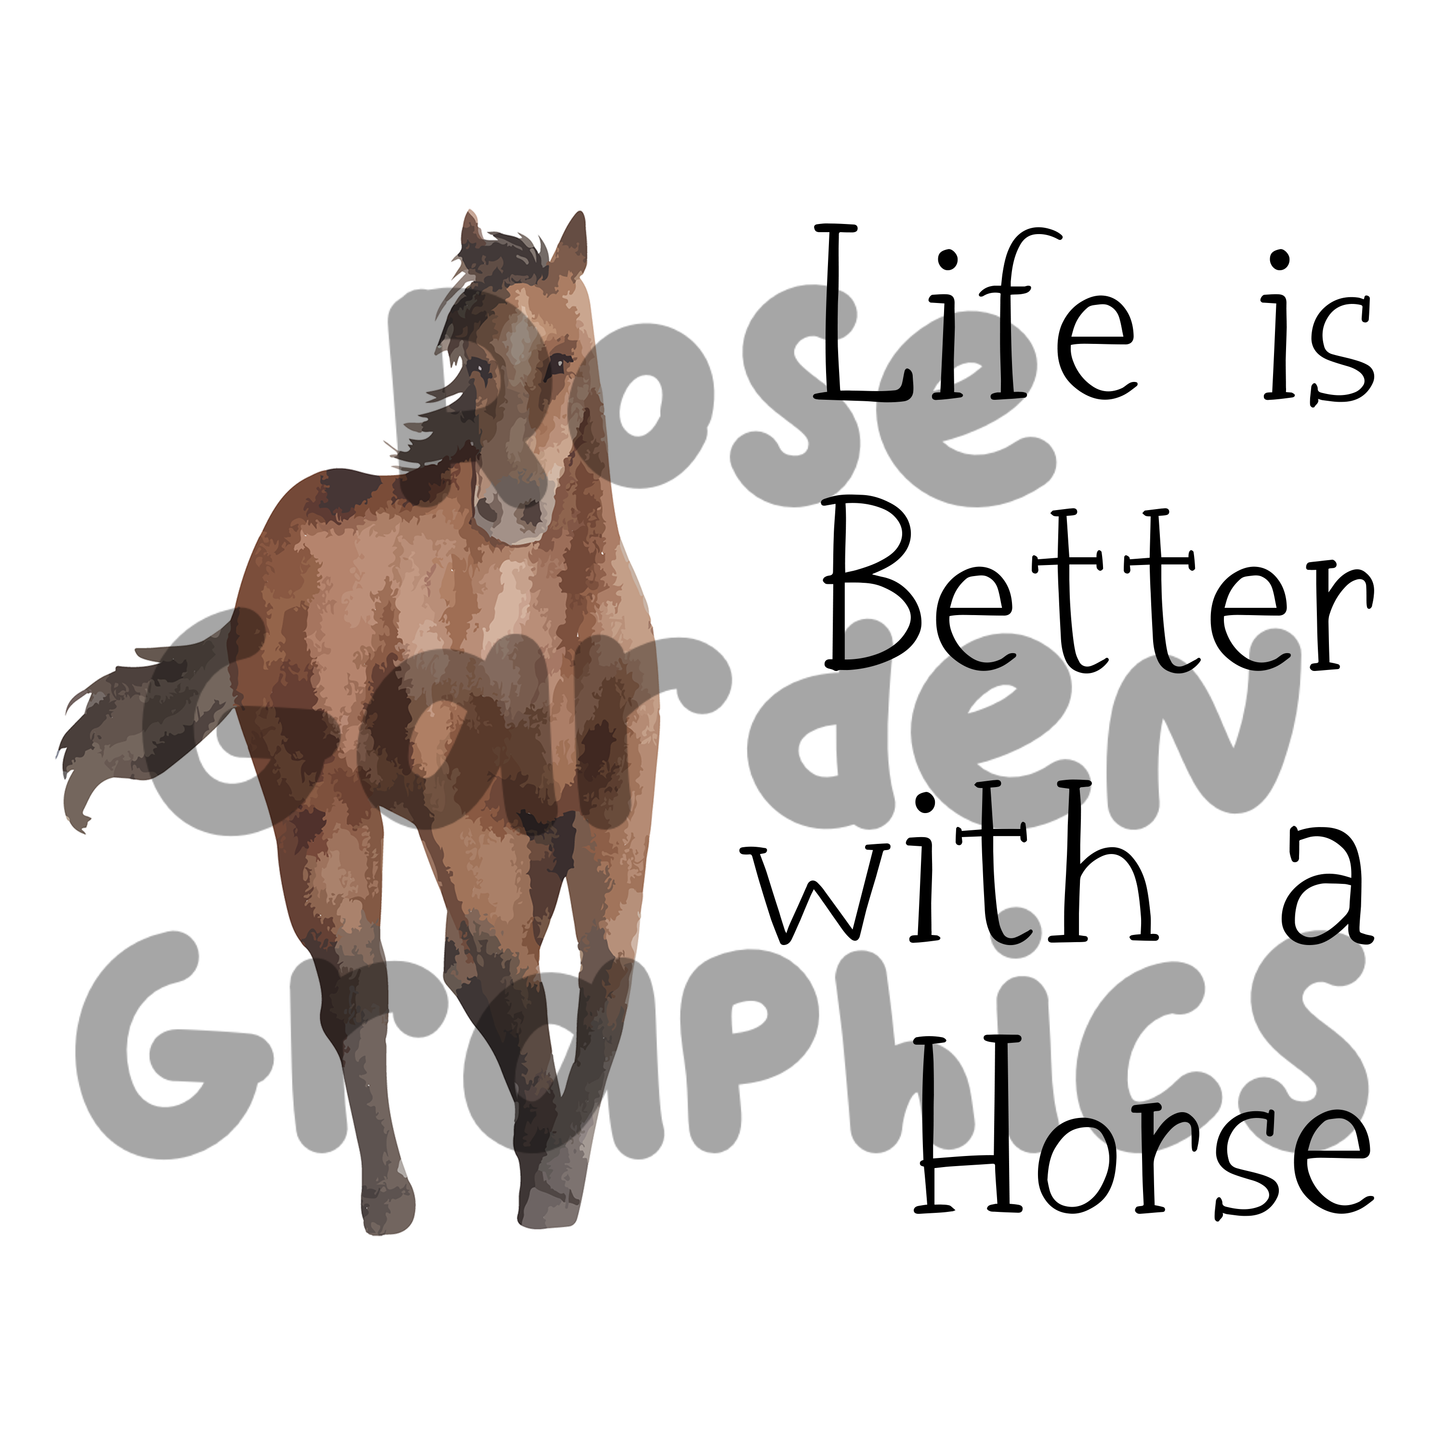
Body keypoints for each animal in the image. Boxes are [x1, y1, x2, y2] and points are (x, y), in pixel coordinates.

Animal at [60, 210, 658, 1234]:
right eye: (477, 362)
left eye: (561, 358)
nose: (511, 507)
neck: (549, 627)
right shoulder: (468, 822)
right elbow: (516, 984)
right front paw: (542, 1188)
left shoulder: (604, 814)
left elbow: (601, 982)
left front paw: (551, 1179)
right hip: (324, 815)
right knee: (355, 990)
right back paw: (389, 1198)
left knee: (461, 972)